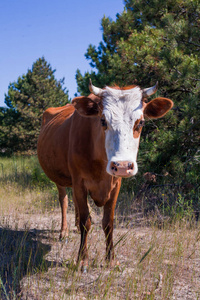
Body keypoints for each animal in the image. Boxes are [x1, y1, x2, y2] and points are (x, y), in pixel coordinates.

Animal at [37, 79, 173, 272]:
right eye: (102, 120)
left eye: (140, 123)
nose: (122, 166)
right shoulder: (79, 181)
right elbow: (86, 221)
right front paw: (83, 259)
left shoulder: (115, 184)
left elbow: (108, 222)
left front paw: (111, 259)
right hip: (60, 179)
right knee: (64, 200)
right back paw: (64, 232)